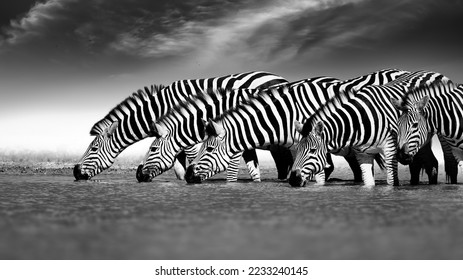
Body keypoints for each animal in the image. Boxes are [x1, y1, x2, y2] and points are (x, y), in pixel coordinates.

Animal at [73, 71, 288, 180]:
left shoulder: (185, 133)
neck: (161, 108)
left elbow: (188, 160)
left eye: (93, 148)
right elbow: (176, 165)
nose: (75, 172)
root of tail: (279, 77)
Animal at [290, 70, 454, 187]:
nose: (292, 180)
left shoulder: (390, 150)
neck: (358, 122)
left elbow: (392, 183)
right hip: (420, 140)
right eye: (297, 150)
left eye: (312, 151)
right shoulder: (363, 155)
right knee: (430, 163)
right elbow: (368, 183)